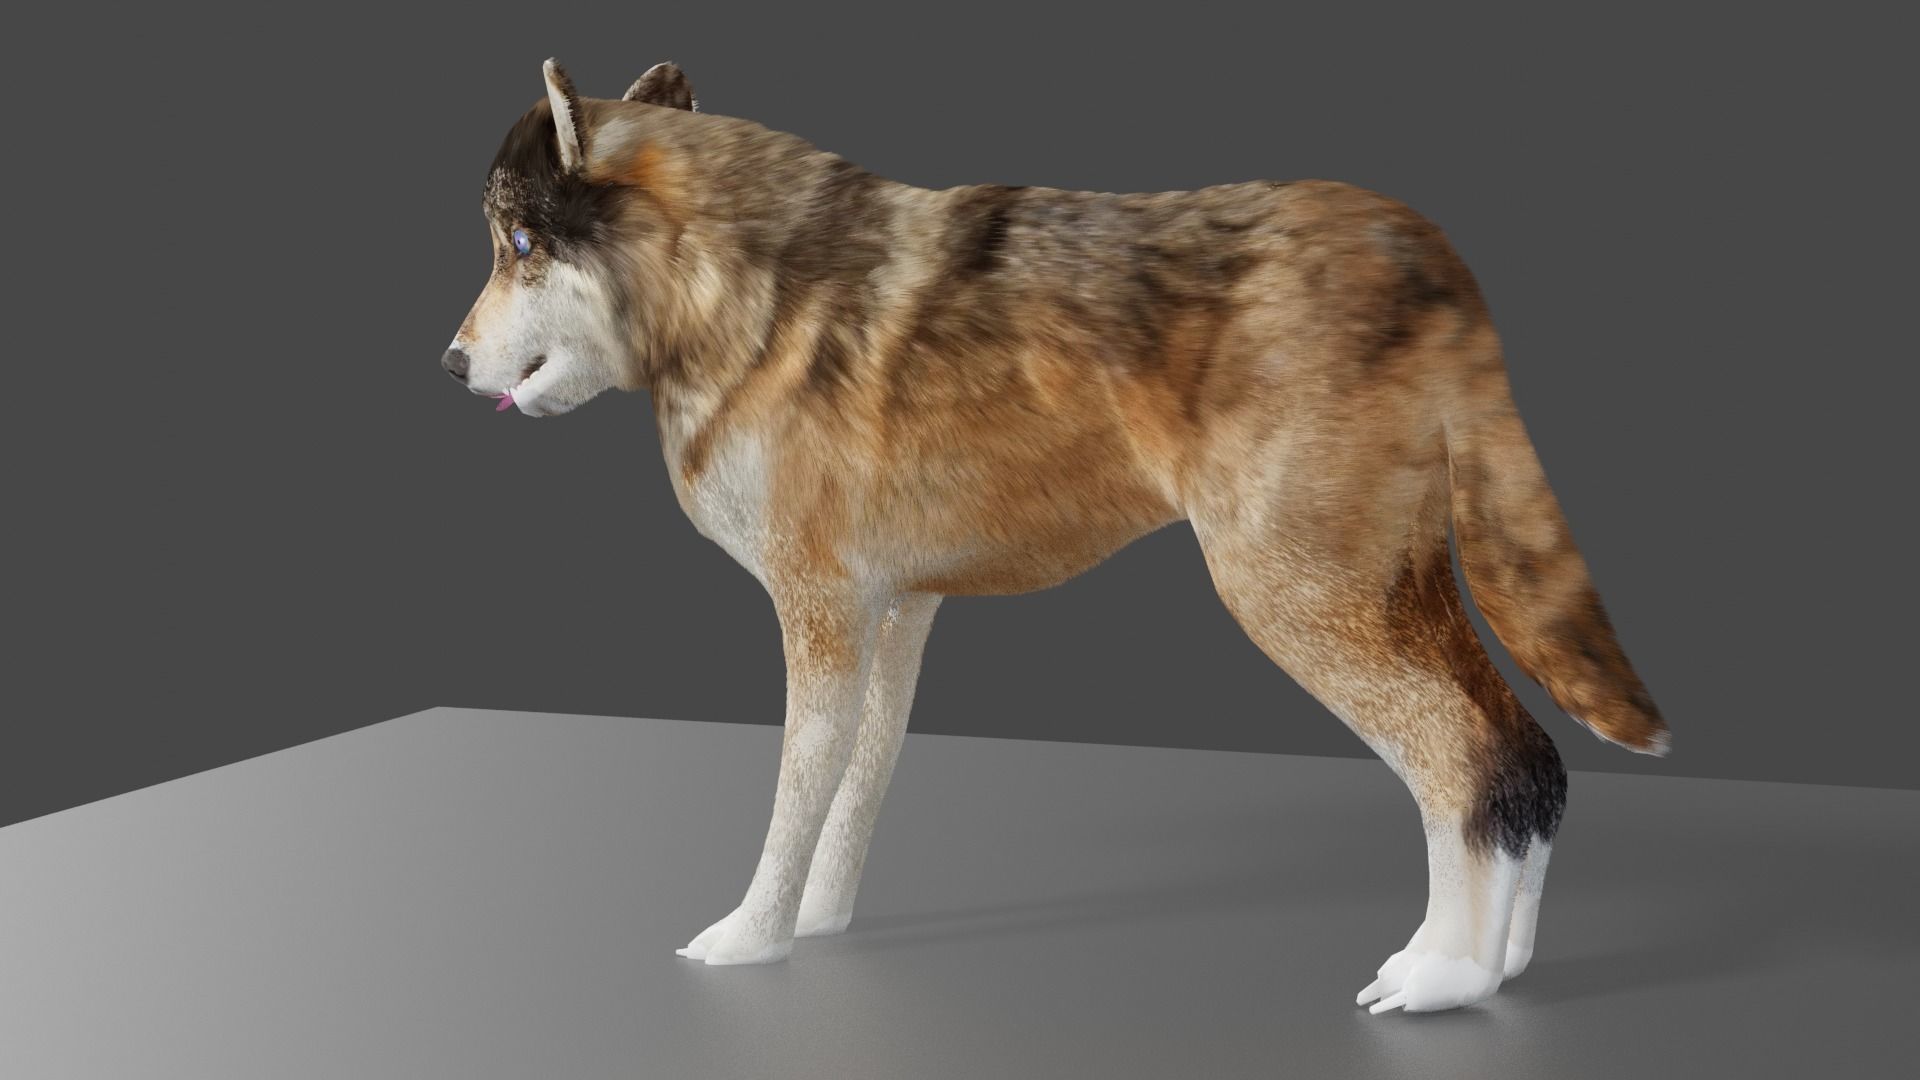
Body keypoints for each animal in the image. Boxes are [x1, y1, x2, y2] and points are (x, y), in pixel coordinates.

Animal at [443, 59, 1668, 1014]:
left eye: (519, 243)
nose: (450, 365)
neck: (744, 299)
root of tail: (1421, 240)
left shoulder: (820, 612)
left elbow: (796, 793)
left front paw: (751, 939)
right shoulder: (900, 613)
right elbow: (862, 782)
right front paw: (826, 925)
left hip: (1297, 603)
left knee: (1465, 760)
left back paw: (1442, 979)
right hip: (1396, 595)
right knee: (1527, 759)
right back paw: (1502, 968)